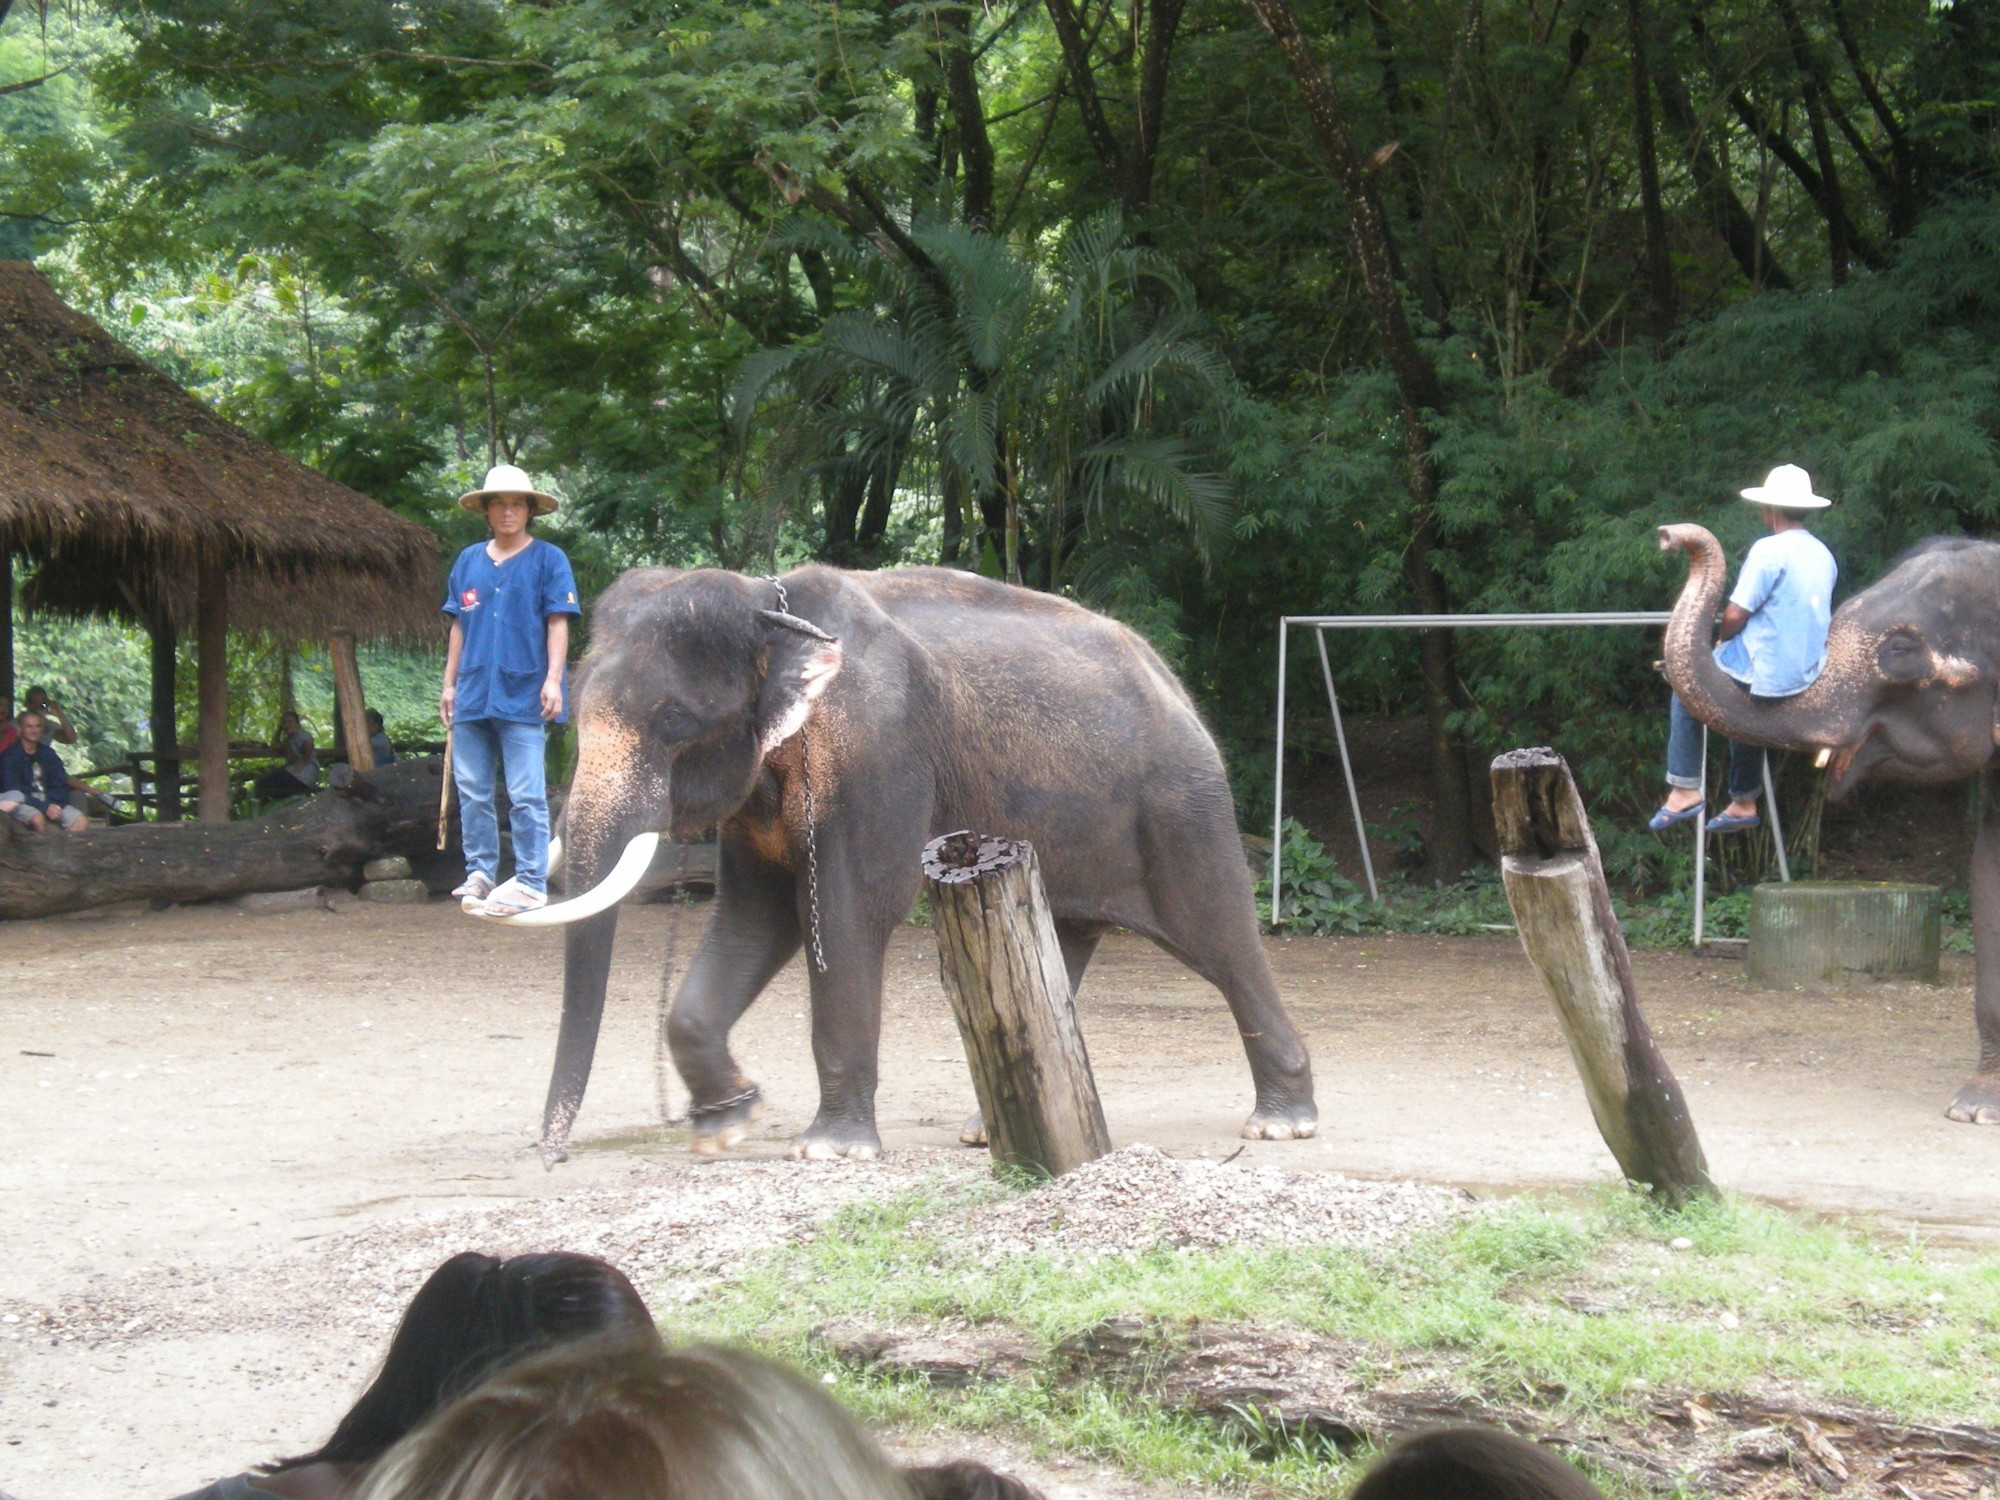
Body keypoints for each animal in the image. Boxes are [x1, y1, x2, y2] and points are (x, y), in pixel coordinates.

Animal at [484, 564, 1320, 1160]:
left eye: (673, 719)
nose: (550, 1155)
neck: (766, 603)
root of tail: (1171, 680)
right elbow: (754, 917)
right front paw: (728, 1125)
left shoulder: (877, 752)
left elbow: (850, 909)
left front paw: (830, 1151)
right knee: (1065, 937)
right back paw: (989, 1131)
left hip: (1180, 803)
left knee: (1221, 937)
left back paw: (1282, 1125)